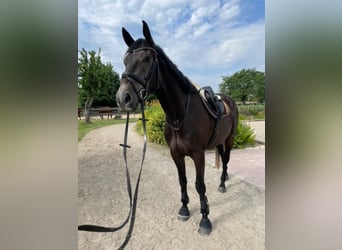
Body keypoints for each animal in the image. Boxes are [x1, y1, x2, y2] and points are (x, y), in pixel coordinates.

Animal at [115, 21, 238, 234]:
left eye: (147, 59)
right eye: (125, 61)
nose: (124, 98)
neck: (180, 116)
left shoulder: (198, 155)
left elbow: (200, 185)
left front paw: (205, 219)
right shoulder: (176, 154)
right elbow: (183, 181)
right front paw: (184, 209)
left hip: (229, 139)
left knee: (226, 160)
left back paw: (222, 184)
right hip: (219, 140)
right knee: (223, 158)